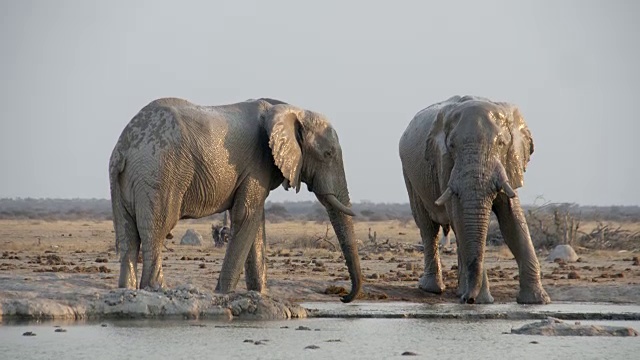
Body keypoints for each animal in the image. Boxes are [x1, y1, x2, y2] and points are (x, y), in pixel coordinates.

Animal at [107, 97, 362, 302]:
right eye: (328, 154)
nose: (343, 298)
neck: (289, 108)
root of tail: (123, 147)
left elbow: (256, 221)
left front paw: (260, 294)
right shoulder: (257, 163)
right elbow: (246, 216)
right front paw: (224, 294)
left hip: (126, 180)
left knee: (128, 236)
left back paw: (127, 289)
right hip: (160, 172)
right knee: (157, 231)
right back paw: (158, 289)